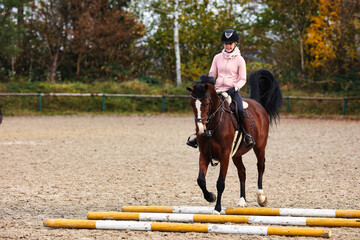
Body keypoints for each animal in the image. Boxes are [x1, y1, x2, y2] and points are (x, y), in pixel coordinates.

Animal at [187, 69, 282, 214]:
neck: (213, 126)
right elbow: (201, 180)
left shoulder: (225, 155)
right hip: (236, 154)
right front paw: (210, 197)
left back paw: (261, 197)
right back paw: (242, 200)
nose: (200, 130)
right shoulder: (204, 154)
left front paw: (217, 208)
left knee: (260, 167)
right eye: (192, 104)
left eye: (207, 103)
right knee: (242, 172)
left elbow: (220, 183)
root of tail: (257, 104)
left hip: (260, 147)